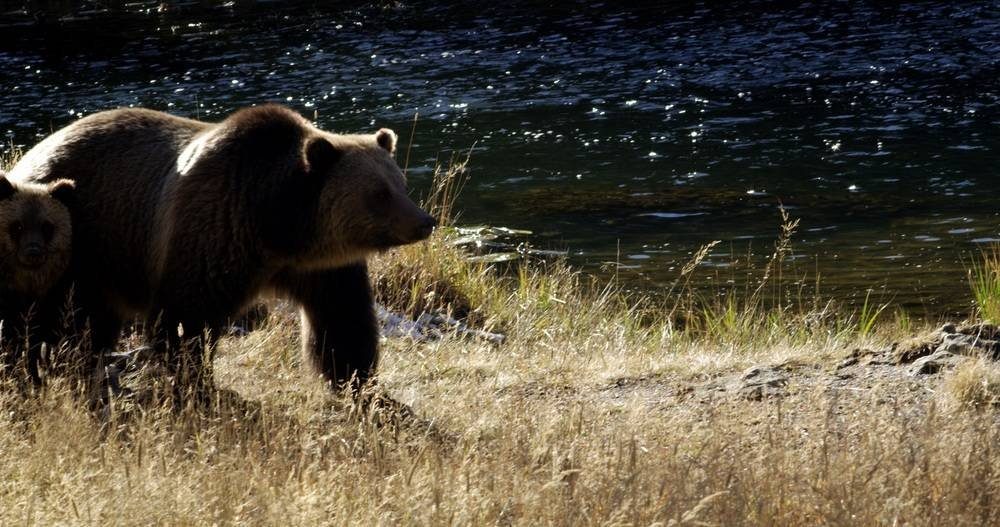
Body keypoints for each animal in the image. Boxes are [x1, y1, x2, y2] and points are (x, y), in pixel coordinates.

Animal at [0, 171, 75, 386]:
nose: (33, 252)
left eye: (46, 226)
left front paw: (35, 377)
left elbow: (34, 341)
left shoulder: (47, 302)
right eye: (17, 225)